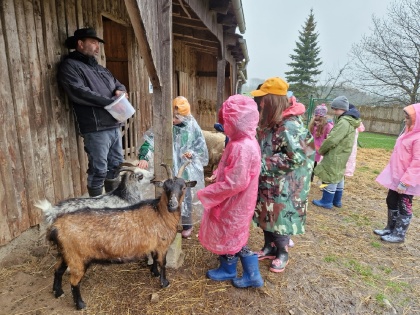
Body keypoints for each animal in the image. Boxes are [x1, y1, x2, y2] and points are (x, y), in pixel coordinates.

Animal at [45, 163, 196, 312]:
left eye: (183, 187)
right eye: (165, 187)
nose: (172, 205)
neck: (160, 213)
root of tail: (55, 226)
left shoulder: (154, 244)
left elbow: (153, 258)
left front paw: (154, 273)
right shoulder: (162, 246)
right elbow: (162, 263)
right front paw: (164, 282)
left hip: (66, 253)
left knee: (57, 270)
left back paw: (58, 292)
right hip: (77, 258)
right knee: (74, 282)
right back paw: (80, 305)